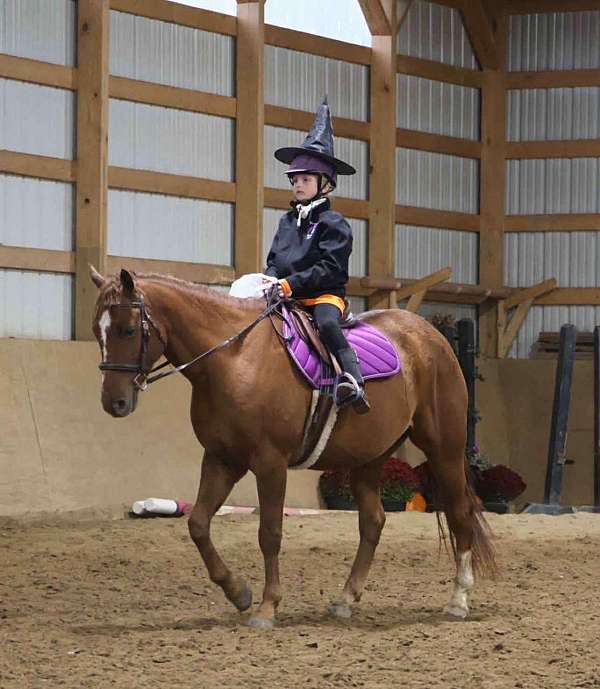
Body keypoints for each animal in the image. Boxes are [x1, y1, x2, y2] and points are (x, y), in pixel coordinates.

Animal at [90, 267, 496, 629]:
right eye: (97, 331)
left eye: (128, 329)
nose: (114, 403)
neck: (234, 357)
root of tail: (431, 336)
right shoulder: (222, 459)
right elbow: (198, 524)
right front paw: (238, 592)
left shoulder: (270, 463)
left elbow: (269, 532)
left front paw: (267, 608)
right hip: (370, 458)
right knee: (373, 522)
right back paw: (346, 599)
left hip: (444, 449)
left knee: (460, 513)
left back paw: (458, 599)